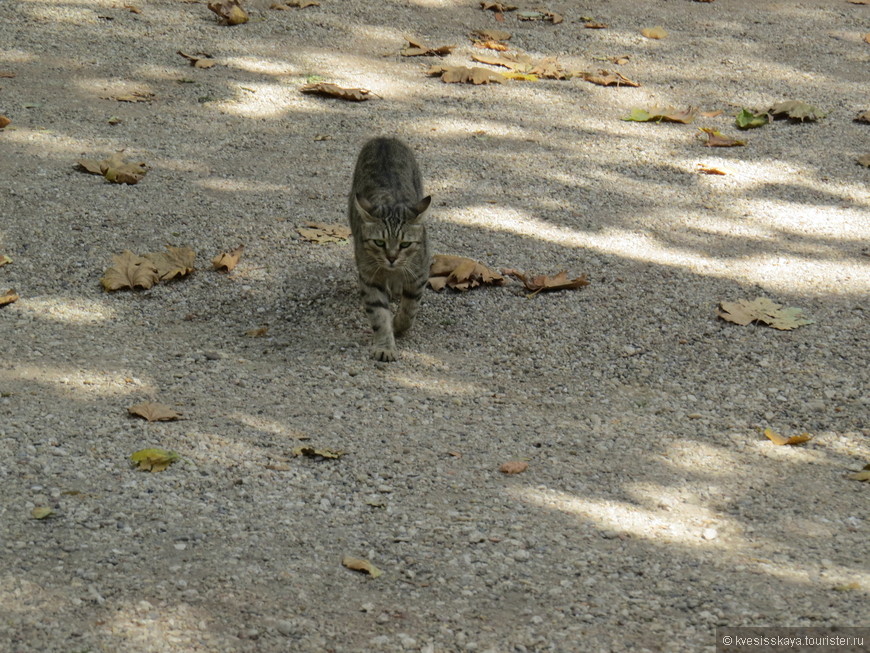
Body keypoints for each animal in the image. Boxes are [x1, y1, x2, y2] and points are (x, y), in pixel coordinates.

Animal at [350, 138, 434, 362]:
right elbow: (379, 316)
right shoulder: (370, 278)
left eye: (405, 244)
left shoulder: (419, 274)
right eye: (379, 243)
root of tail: (384, 138)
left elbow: (410, 310)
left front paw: (398, 324)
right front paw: (385, 346)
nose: (391, 258)